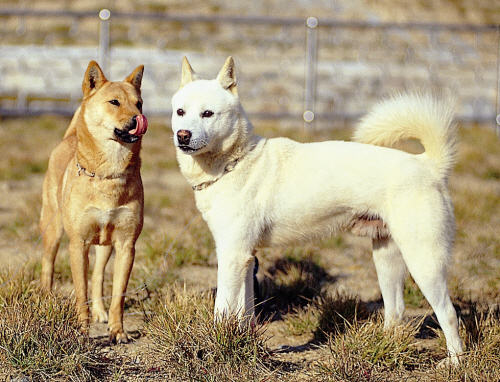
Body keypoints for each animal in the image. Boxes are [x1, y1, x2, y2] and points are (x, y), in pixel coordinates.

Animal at [40, 62, 147, 344]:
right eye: (114, 102)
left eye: (139, 104)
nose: (139, 120)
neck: (108, 174)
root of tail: (69, 138)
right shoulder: (78, 243)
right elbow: (80, 291)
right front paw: (82, 331)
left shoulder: (126, 245)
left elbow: (118, 295)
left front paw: (117, 331)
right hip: (53, 230)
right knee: (47, 265)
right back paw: (45, 301)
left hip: (105, 245)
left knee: (98, 277)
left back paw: (100, 311)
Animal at [170, 56, 462, 362]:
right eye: (180, 111)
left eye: (208, 113)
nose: (183, 135)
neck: (234, 162)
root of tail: (428, 165)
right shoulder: (246, 258)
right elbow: (244, 311)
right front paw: (242, 345)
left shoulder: (232, 256)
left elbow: (222, 309)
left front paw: (215, 349)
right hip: (386, 258)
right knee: (396, 310)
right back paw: (381, 348)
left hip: (423, 262)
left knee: (448, 313)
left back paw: (454, 363)